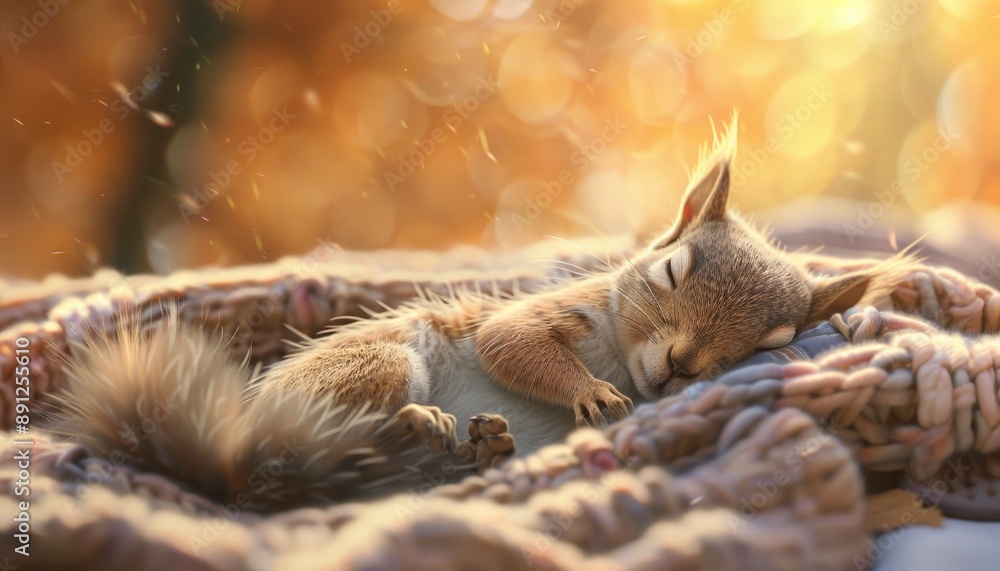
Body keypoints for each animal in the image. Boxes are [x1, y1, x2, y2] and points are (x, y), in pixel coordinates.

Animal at [52, 121, 914, 511]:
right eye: (672, 270)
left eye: (767, 343)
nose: (680, 368)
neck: (621, 345)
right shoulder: (552, 310)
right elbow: (513, 343)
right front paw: (593, 395)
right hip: (379, 365)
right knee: (285, 455)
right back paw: (420, 429)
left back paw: (471, 449)